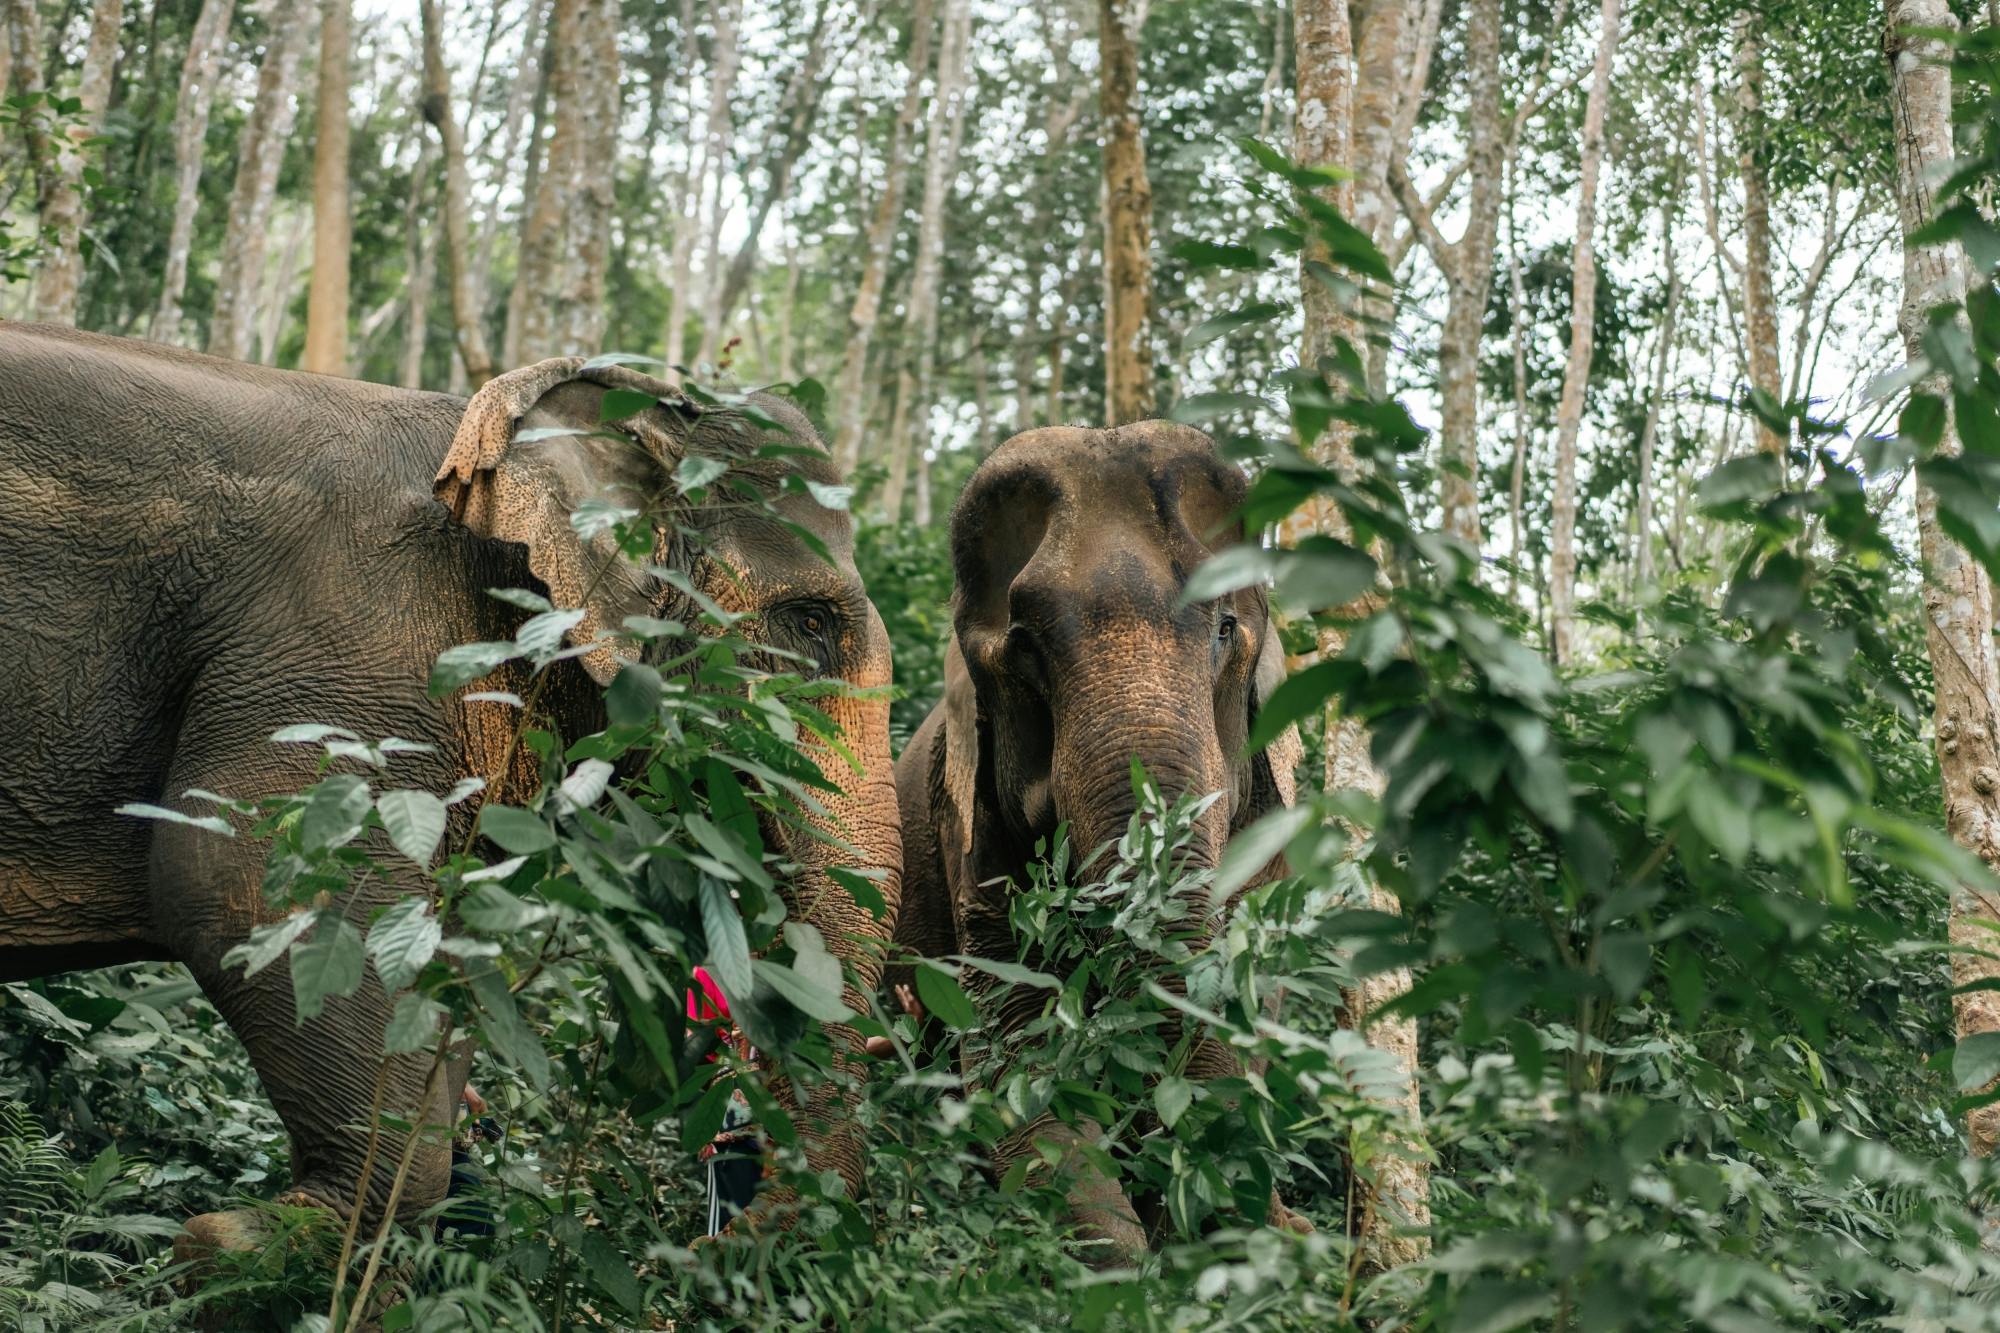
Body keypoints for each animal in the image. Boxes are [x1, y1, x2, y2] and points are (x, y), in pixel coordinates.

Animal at [0, 323, 901, 1256]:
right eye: (810, 623)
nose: (709, 1233)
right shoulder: (362, 634)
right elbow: (242, 876)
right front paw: (241, 1247)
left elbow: (452, 943)